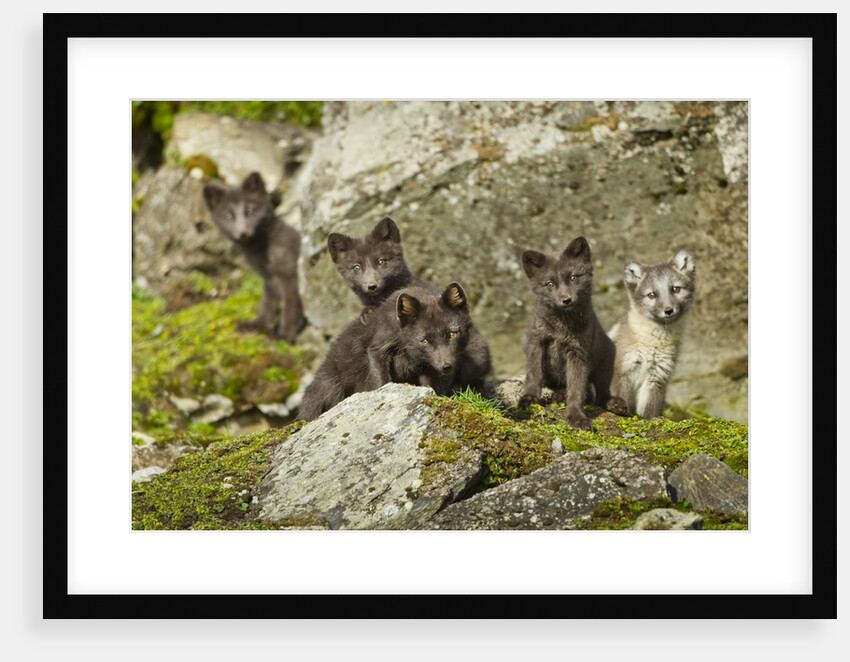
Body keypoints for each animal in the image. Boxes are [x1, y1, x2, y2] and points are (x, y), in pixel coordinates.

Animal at [202, 172, 306, 343]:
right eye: (227, 215)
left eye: (250, 210)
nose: (243, 233)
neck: (261, 250)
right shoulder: (268, 279)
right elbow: (267, 304)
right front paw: (257, 325)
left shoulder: (289, 273)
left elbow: (290, 306)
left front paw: (285, 335)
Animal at [298, 282, 491, 421]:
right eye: (425, 340)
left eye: (452, 334)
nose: (446, 366)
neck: (407, 350)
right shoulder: (378, 348)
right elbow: (383, 382)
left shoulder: (427, 368)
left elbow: (431, 387)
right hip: (329, 388)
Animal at [518, 236, 627, 431]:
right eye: (550, 283)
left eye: (573, 277)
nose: (566, 299)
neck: (561, 327)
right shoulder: (536, 342)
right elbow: (534, 374)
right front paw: (529, 398)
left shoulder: (578, 353)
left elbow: (576, 389)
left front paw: (577, 417)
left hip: (606, 361)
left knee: (599, 396)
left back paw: (614, 403)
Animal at [608, 250, 696, 419]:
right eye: (651, 295)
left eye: (676, 289)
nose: (668, 310)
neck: (653, 344)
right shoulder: (621, 367)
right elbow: (616, 393)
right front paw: (617, 406)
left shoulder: (658, 375)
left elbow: (650, 408)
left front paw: (651, 419)